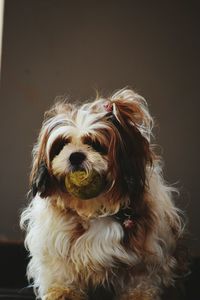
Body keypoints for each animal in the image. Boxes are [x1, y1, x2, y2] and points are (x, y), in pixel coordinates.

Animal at [20, 89, 184, 300]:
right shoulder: (54, 241)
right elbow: (60, 270)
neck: (94, 206)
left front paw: (139, 294)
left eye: (96, 144)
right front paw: (63, 291)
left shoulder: (148, 250)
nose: (76, 156)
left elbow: (142, 276)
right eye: (62, 144)